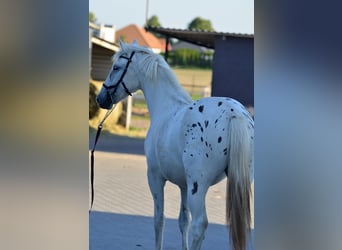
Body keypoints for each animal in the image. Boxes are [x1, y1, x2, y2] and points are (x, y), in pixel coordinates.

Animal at [96, 40, 254, 249]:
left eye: (116, 67)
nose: (100, 98)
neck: (166, 108)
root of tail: (234, 113)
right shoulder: (184, 185)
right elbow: (182, 221)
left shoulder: (155, 177)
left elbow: (159, 219)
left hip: (198, 186)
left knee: (199, 225)